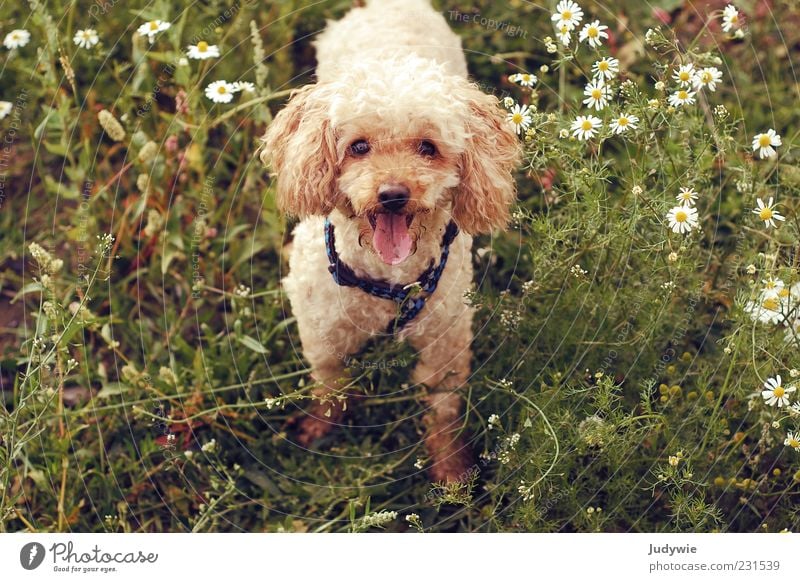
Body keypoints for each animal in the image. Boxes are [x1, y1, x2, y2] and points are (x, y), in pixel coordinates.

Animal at [262, 0, 520, 484]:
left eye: (428, 148)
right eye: (358, 146)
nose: (393, 195)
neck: (388, 280)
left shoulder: (445, 343)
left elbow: (444, 411)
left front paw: (452, 471)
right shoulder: (323, 332)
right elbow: (329, 383)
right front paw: (321, 426)